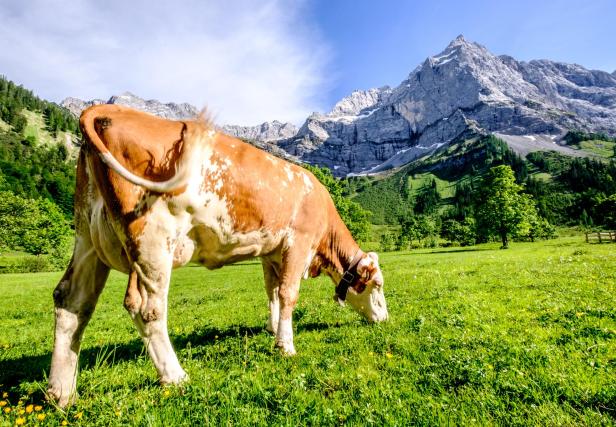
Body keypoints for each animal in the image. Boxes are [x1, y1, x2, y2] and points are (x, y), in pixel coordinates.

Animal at [48, 103, 388, 408]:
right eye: (378, 286)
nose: (385, 319)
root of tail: (111, 109)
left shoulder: (270, 253)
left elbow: (272, 292)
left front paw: (272, 328)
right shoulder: (298, 243)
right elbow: (288, 294)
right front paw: (286, 345)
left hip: (87, 237)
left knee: (71, 302)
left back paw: (61, 393)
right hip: (152, 240)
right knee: (147, 308)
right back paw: (175, 376)